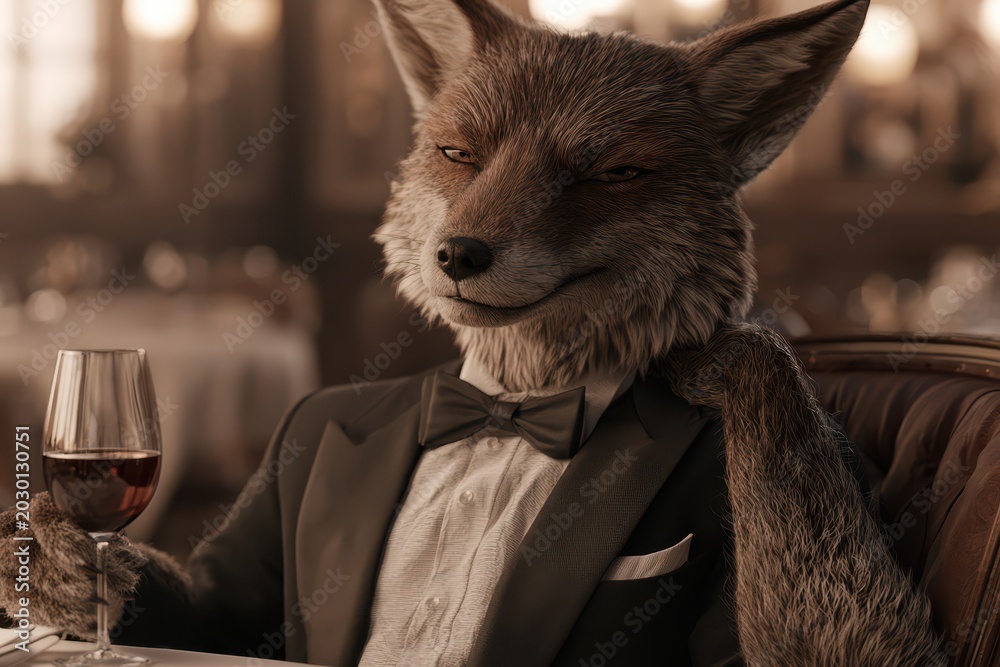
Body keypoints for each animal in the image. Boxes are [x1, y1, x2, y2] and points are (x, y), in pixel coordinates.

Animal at [0, 0, 944, 665]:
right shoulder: (233, 587)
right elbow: (204, 601)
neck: (509, 411)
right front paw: (58, 569)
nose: (458, 253)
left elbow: (753, 361)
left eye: (612, 173)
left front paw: (726, 342)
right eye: (461, 154)